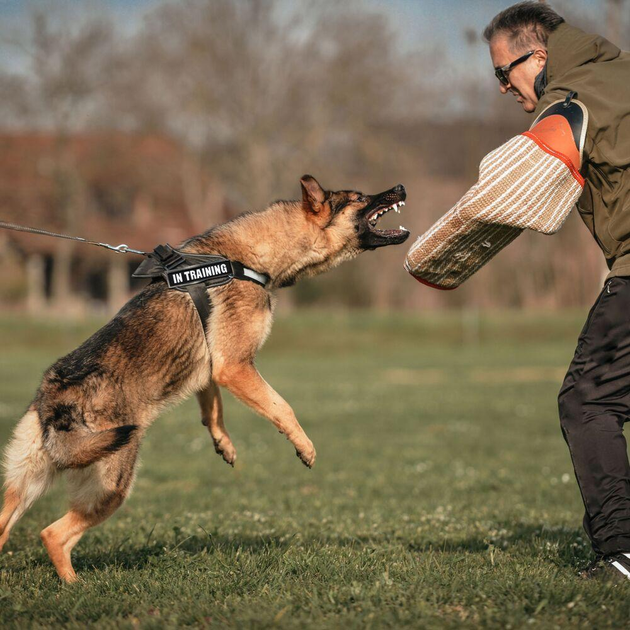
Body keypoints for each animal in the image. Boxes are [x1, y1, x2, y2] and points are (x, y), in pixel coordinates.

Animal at [0, 177, 410, 584]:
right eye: (359, 197)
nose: (401, 188)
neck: (248, 258)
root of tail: (51, 400)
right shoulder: (235, 367)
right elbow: (282, 406)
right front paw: (303, 447)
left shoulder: (211, 370)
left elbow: (213, 411)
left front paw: (224, 444)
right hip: (111, 486)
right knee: (52, 534)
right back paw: (74, 585)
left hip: (28, 483)